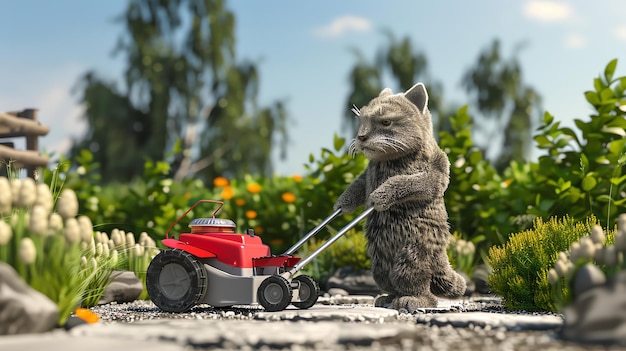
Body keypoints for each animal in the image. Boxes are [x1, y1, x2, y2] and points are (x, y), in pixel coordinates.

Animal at [334, 84, 466, 312]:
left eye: (386, 122)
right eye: (362, 122)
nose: (361, 137)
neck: (388, 159)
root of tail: (441, 255)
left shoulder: (437, 170)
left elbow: (411, 183)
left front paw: (380, 196)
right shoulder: (365, 176)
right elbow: (358, 185)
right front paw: (343, 204)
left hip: (412, 252)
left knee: (418, 285)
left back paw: (412, 299)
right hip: (379, 261)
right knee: (387, 279)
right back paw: (388, 297)